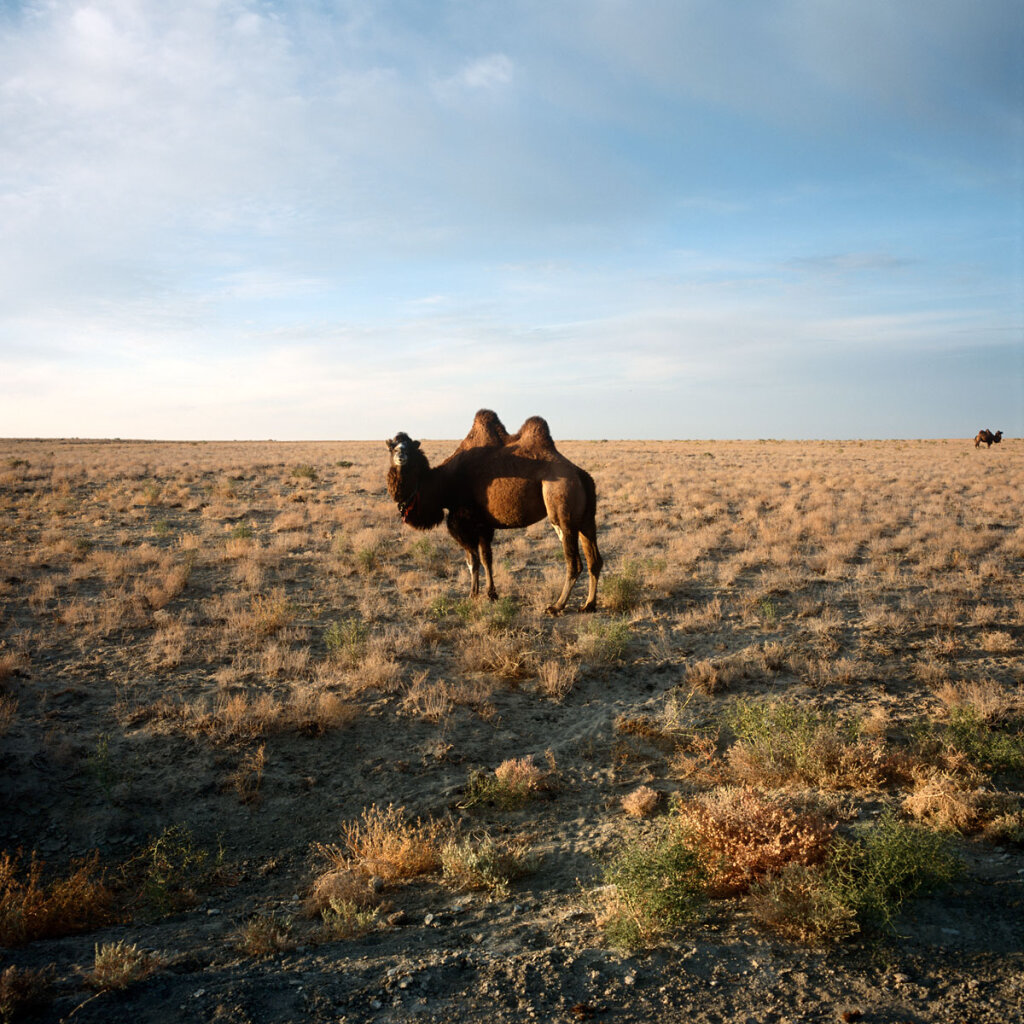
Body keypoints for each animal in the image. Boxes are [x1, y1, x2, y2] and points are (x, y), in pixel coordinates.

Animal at [387, 409, 602, 614]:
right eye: (391, 446)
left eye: (410, 447)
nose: (400, 455)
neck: (442, 483)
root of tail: (581, 475)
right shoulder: (484, 523)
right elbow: (485, 559)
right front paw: (489, 594)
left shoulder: (464, 520)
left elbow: (474, 560)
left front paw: (474, 594)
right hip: (586, 518)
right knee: (594, 560)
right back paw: (588, 605)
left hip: (562, 509)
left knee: (574, 563)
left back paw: (556, 606)